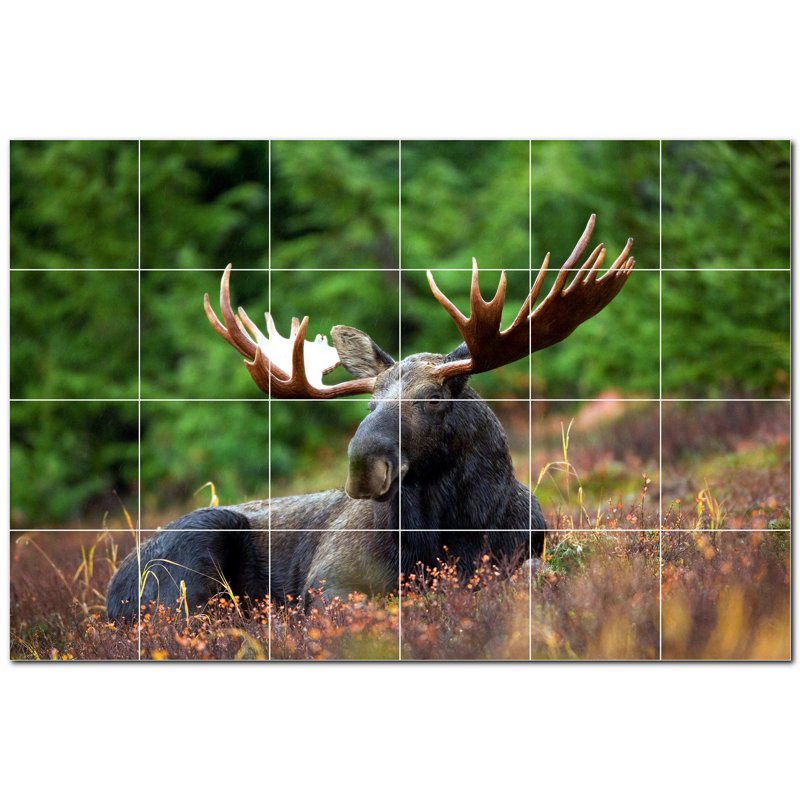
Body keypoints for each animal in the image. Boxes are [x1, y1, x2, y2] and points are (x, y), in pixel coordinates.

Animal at [106, 214, 634, 623]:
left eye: (433, 398)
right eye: (370, 403)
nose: (363, 466)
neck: (456, 530)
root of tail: (111, 594)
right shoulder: (329, 581)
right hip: (194, 552)